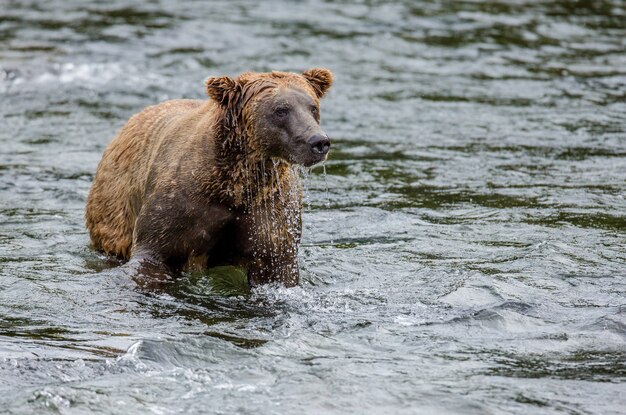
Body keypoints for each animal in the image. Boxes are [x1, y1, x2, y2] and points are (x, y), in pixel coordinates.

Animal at [86, 69, 336, 290]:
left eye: (312, 107)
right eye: (281, 110)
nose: (318, 141)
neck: (237, 185)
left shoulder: (270, 209)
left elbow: (276, 264)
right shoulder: (182, 205)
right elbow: (154, 253)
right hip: (115, 207)